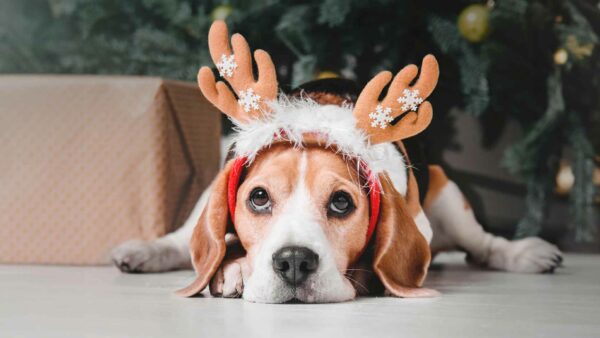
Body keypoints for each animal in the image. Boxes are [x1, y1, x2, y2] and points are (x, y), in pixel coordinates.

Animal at [111, 20, 564, 302]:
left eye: (342, 203)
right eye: (258, 198)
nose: (294, 262)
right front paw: (234, 268)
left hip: (447, 194)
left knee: (484, 245)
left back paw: (526, 253)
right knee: (181, 241)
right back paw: (145, 251)